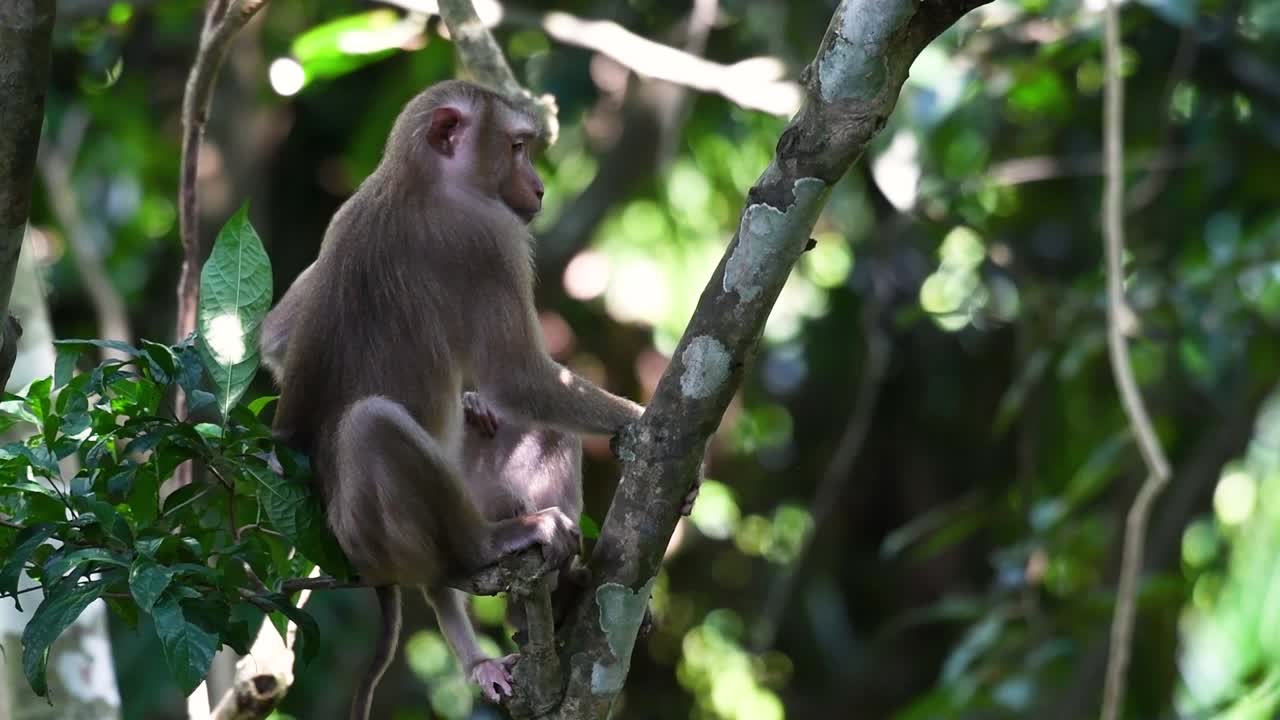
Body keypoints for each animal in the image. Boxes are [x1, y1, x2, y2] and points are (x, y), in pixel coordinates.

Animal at [264, 80, 649, 719]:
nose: (538, 187)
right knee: (374, 424)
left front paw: (473, 404)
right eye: (517, 146)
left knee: (538, 430)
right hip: (381, 536)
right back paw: (488, 550)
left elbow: (274, 340)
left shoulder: (344, 212)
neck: (412, 177)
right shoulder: (489, 236)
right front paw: (650, 424)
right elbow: (515, 377)